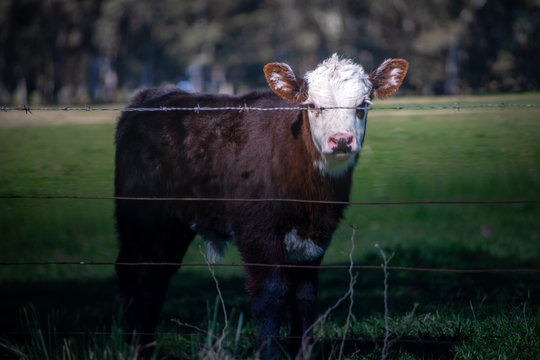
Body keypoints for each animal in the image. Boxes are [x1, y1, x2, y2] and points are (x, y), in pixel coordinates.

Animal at [115, 53, 410, 358]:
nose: (341, 140)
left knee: (157, 274)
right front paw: (269, 352)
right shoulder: (257, 232)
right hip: (143, 216)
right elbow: (271, 294)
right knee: (137, 273)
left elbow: (305, 296)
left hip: (174, 224)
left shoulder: (316, 239)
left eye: (363, 105)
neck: (310, 197)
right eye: (311, 105)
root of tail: (151, 96)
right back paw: (134, 346)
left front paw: (304, 352)